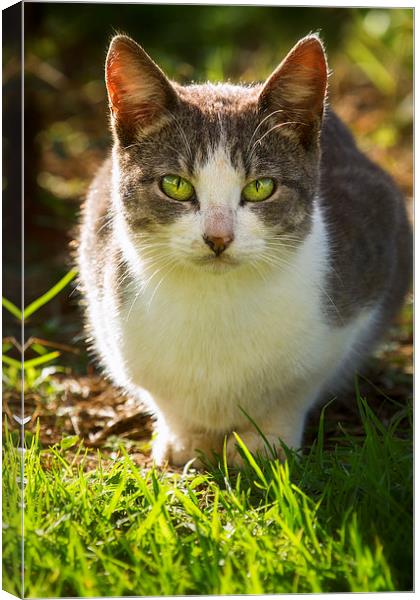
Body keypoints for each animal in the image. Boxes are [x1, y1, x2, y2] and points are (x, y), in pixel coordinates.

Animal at [77, 34, 412, 468]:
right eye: (175, 185)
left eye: (260, 187)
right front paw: (184, 439)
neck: (216, 303)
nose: (218, 238)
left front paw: (265, 443)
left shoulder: (368, 268)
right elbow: (165, 398)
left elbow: (296, 390)